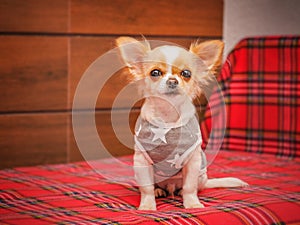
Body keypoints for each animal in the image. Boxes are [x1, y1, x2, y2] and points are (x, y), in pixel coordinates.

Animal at [116, 36, 247, 210]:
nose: (172, 80)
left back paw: (180, 192)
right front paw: (147, 206)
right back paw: (159, 191)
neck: (168, 115)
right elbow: (146, 188)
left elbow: (189, 186)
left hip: (201, 175)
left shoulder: (193, 161)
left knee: (193, 186)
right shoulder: (141, 161)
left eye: (186, 73)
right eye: (155, 72)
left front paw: (192, 204)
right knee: (155, 186)